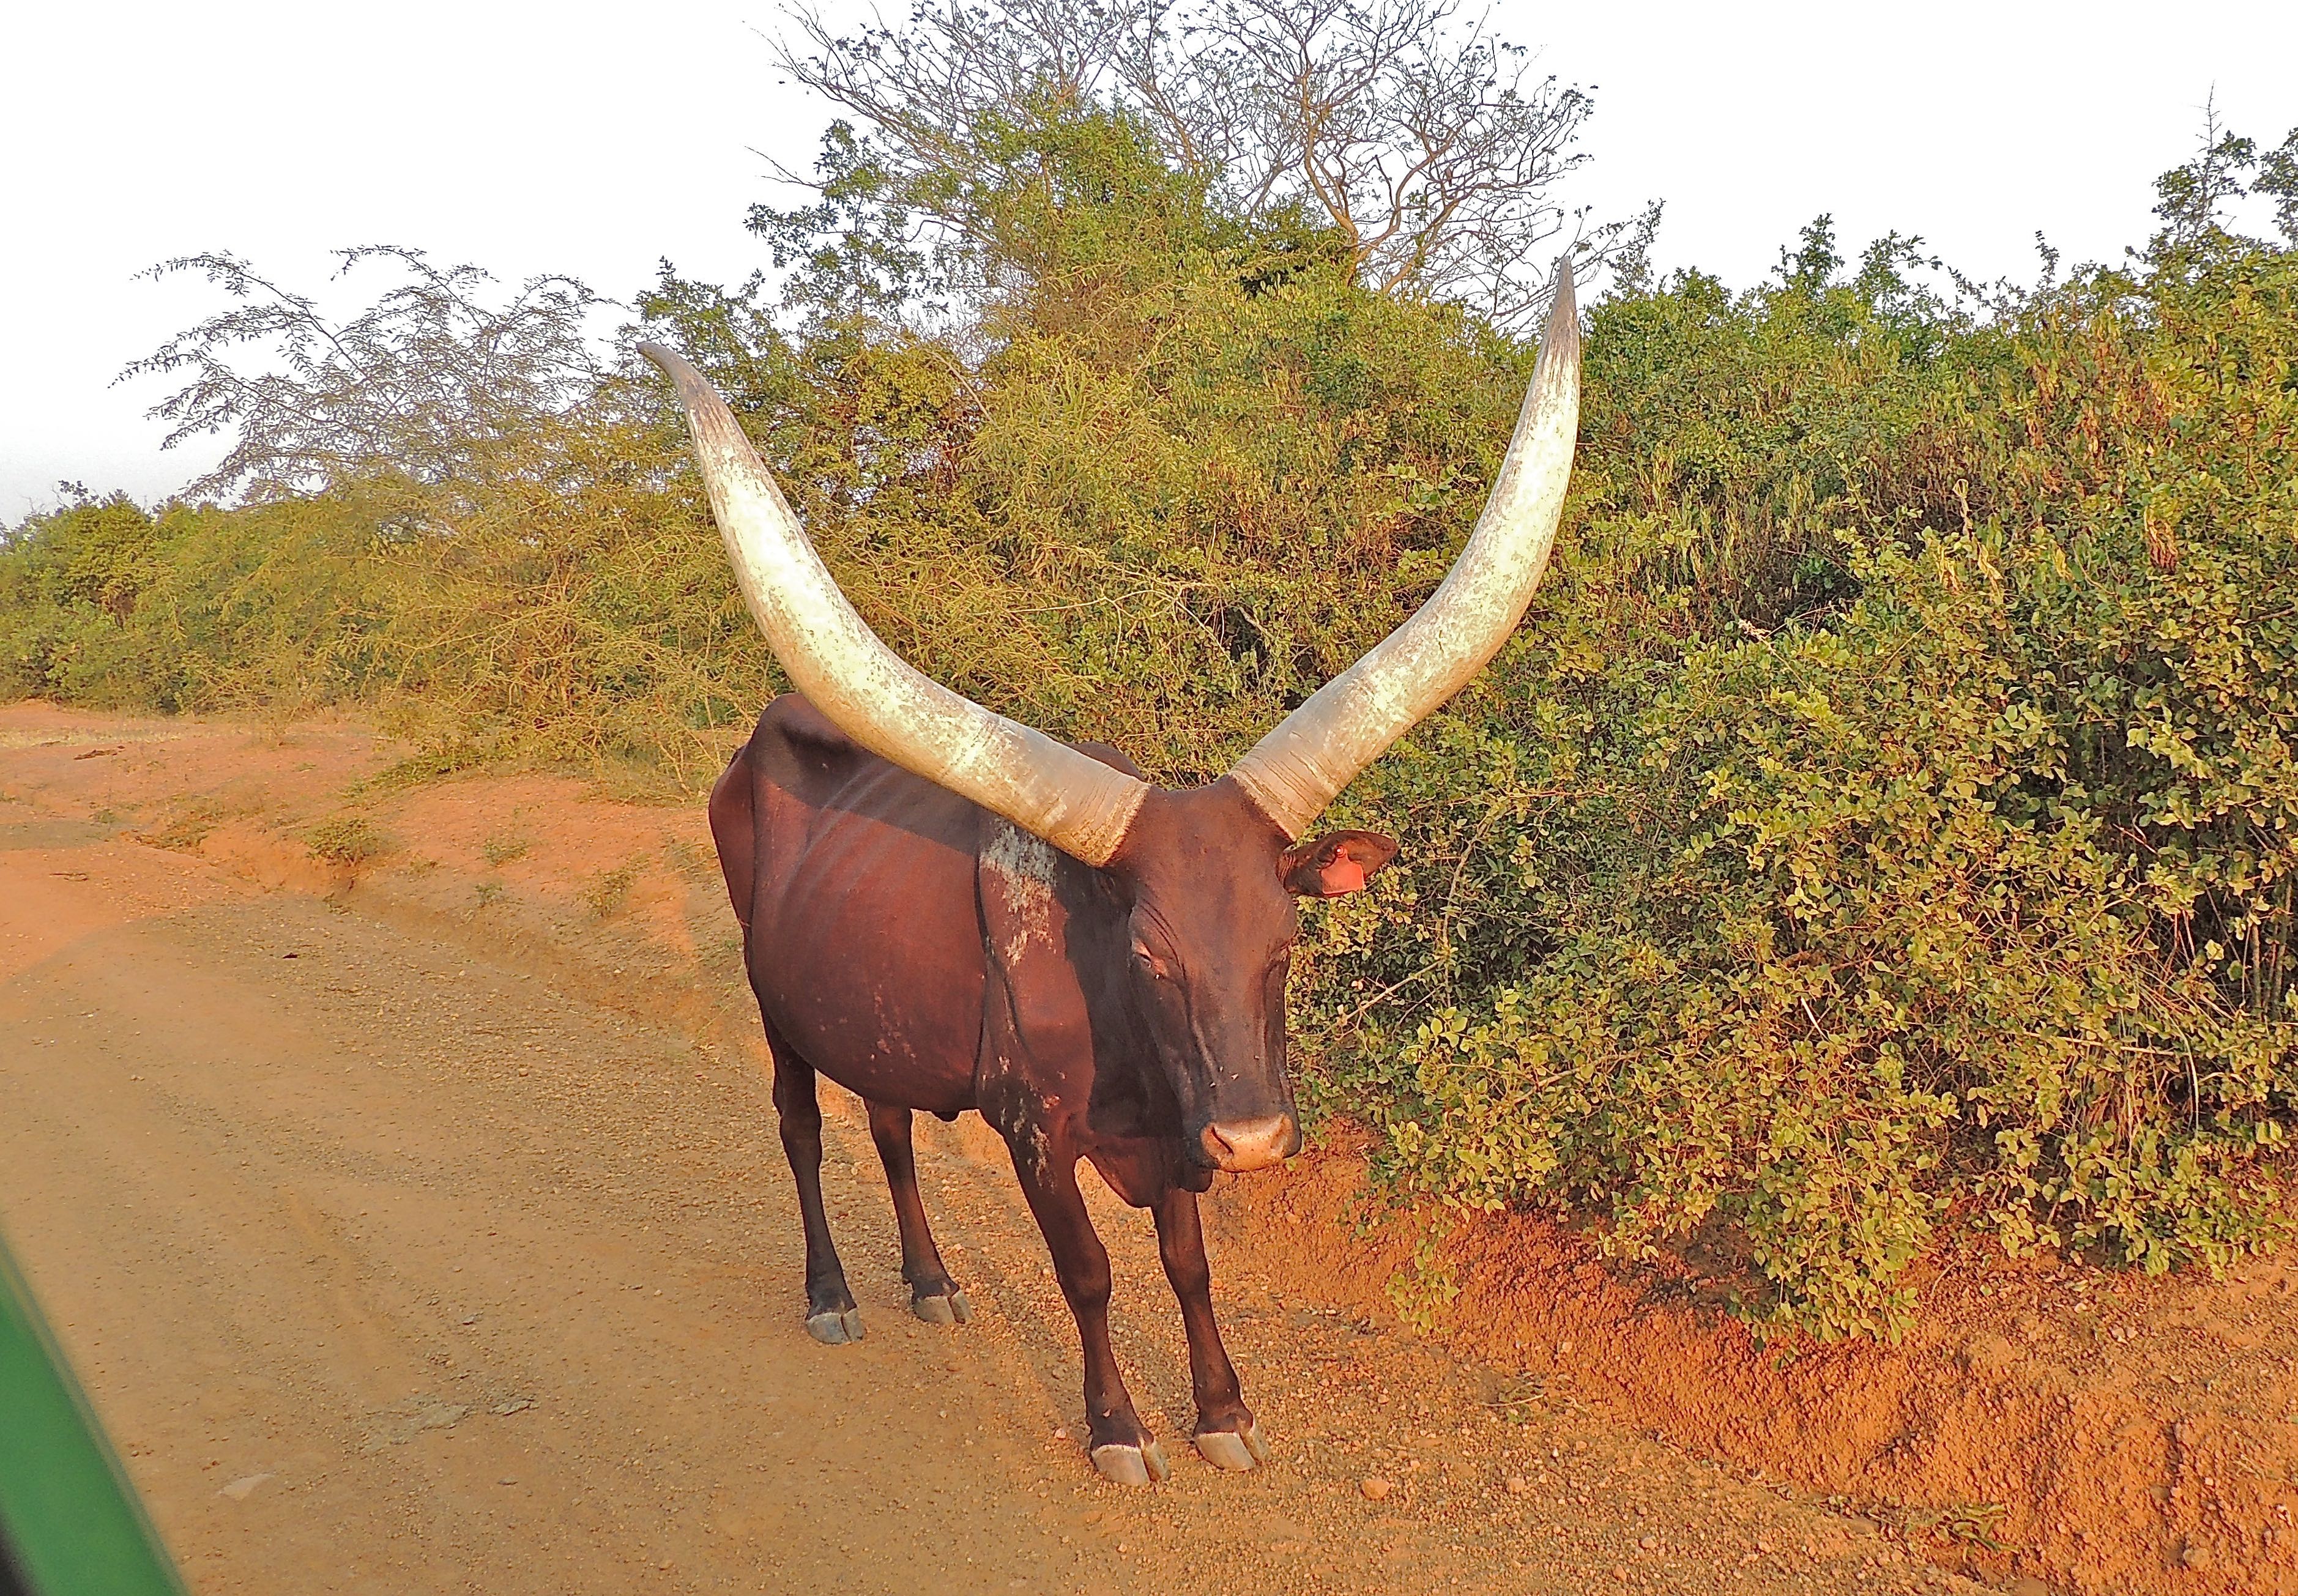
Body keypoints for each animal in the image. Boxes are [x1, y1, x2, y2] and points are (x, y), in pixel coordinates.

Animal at [643, 261, 1581, 1488]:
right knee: (801, 1128)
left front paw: (1223, 1409)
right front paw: (1120, 1427)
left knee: (888, 1128)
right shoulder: (1034, 1134)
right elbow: (1087, 1271)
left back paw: (931, 1279)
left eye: (1287, 942)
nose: (1257, 1139)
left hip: (874, 1009)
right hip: (774, 1002)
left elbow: (1188, 1264)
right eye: (1149, 952)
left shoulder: (1183, 1122)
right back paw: (832, 1292)